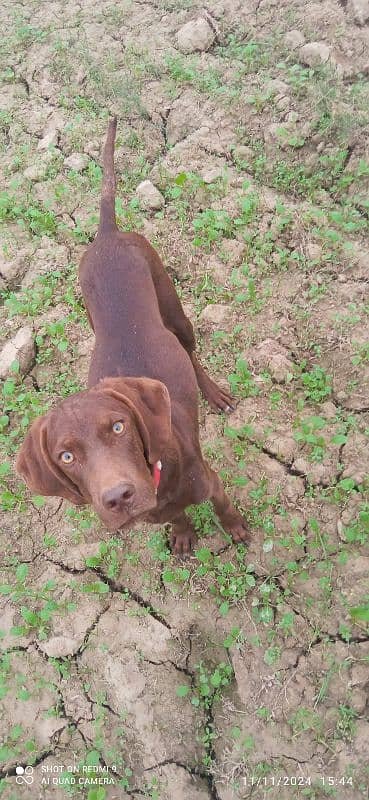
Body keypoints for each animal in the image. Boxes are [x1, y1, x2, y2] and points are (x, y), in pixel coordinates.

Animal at [15, 119, 249, 552]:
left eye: (119, 427)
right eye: (65, 457)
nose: (118, 497)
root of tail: (107, 234)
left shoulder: (209, 482)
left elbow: (223, 506)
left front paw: (237, 528)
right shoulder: (154, 512)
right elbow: (176, 516)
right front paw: (183, 533)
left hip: (173, 308)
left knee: (191, 353)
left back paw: (214, 394)